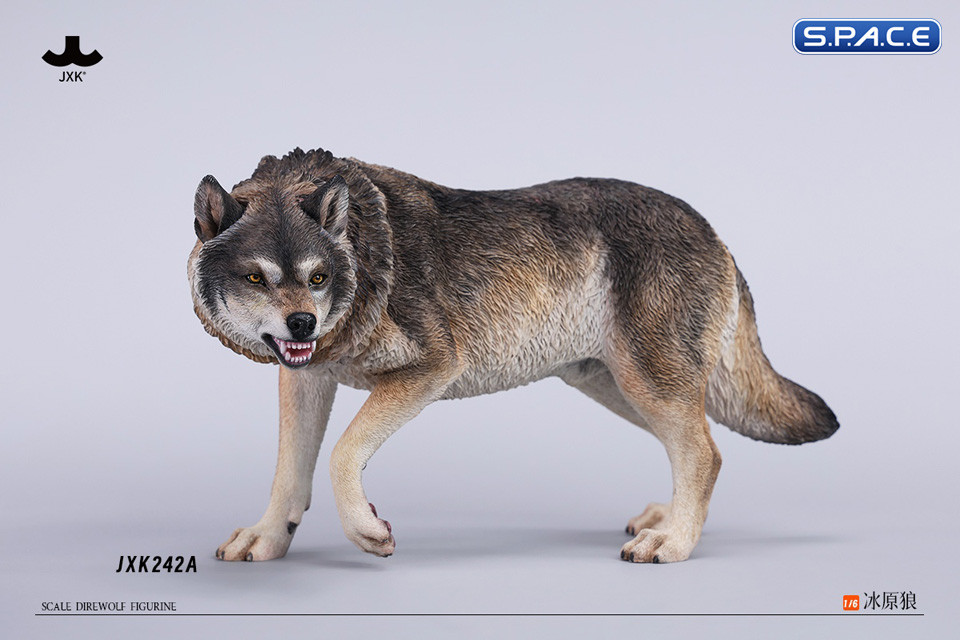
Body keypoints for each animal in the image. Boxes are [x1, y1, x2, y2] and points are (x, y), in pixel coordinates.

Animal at [188, 148, 838, 564]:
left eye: (317, 277)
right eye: (256, 277)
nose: (302, 322)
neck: (365, 258)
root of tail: (714, 230)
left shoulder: (430, 369)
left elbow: (342, 454)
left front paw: (368, 531)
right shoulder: (304, 376)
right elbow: (289, 471)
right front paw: (269, 539)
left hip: (647, 383)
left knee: (705, 454)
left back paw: (674, 541)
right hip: (621, 389)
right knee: (701, 447)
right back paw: (668, 518)